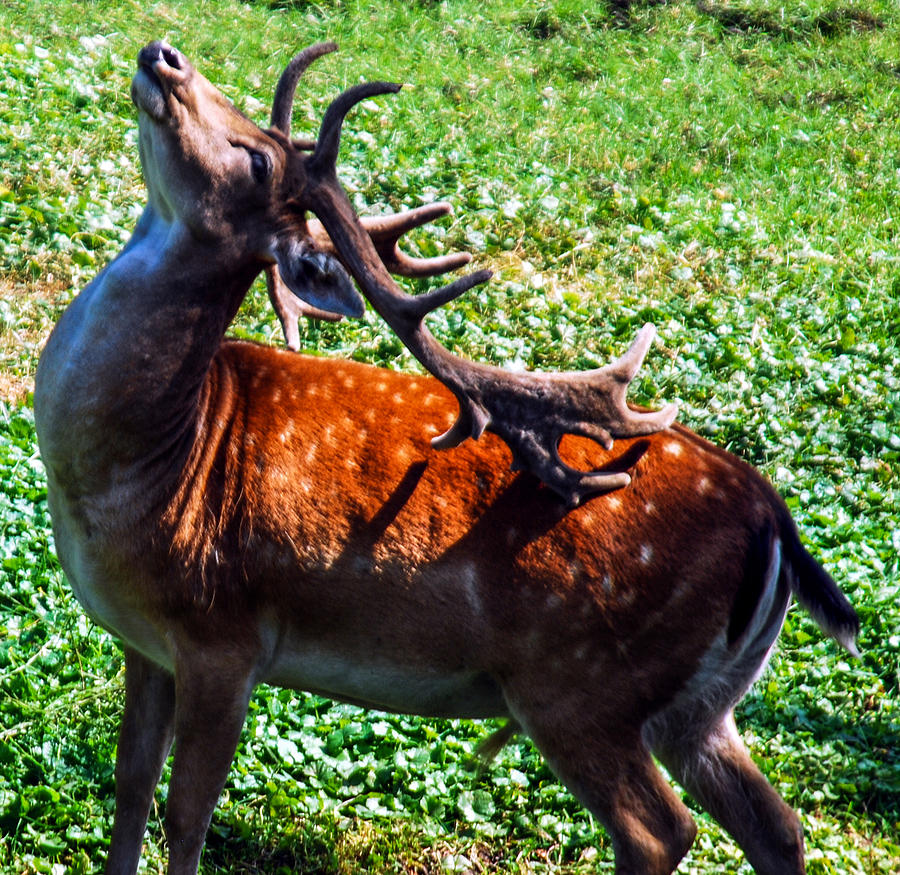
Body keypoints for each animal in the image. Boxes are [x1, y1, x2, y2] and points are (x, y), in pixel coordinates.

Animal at [32, 41, 859, 875]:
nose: (163, 55)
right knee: (778, 825)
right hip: (701, 705)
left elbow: (185, 812)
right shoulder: (143, 642)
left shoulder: (223, 635)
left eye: (257, 158)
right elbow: (130, 783)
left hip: (581, 681)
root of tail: (776, 522)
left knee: (662, 828)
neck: (154, 468)